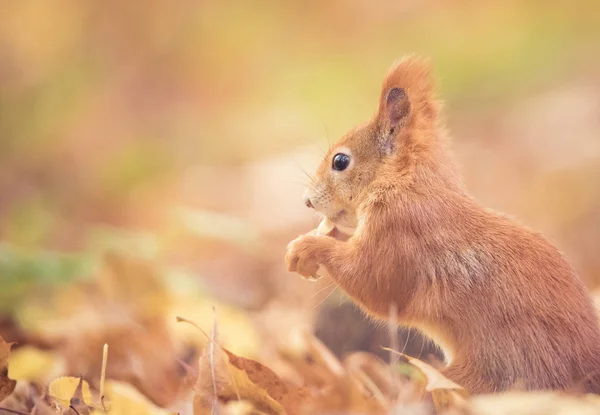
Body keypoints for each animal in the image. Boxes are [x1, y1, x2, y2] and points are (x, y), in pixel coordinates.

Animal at [284, 54, 600, 394]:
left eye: (340, 162)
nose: (306, 201)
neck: (406, 182)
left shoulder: (400, 229)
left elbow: (376, 283)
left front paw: (308, 247)